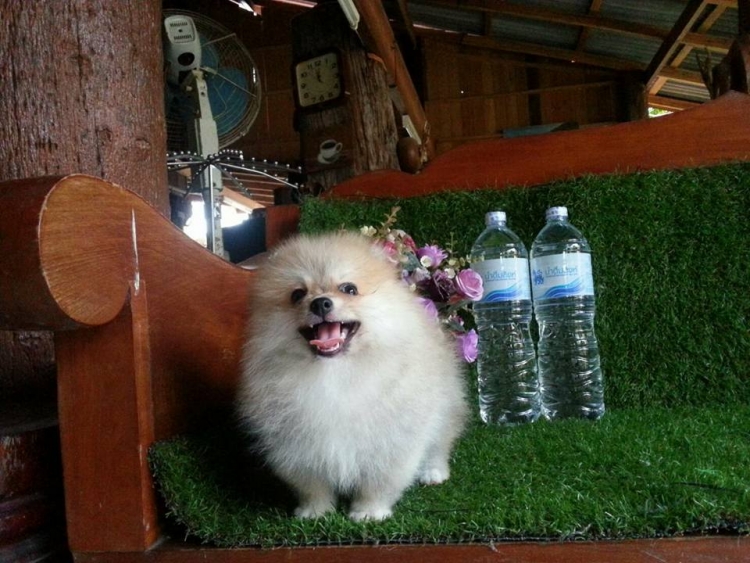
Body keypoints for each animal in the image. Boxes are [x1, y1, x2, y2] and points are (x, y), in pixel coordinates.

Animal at [237, 231, 467, 521]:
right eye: (297, 294)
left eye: (349, 289)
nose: (320, 302)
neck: (334, 374)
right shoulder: (295, 445)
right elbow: (311, 483)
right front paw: (315, 511)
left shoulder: (393, 440)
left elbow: (379, 481)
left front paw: (369, 511)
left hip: (444, 408)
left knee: (439, 443)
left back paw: (433, 472)